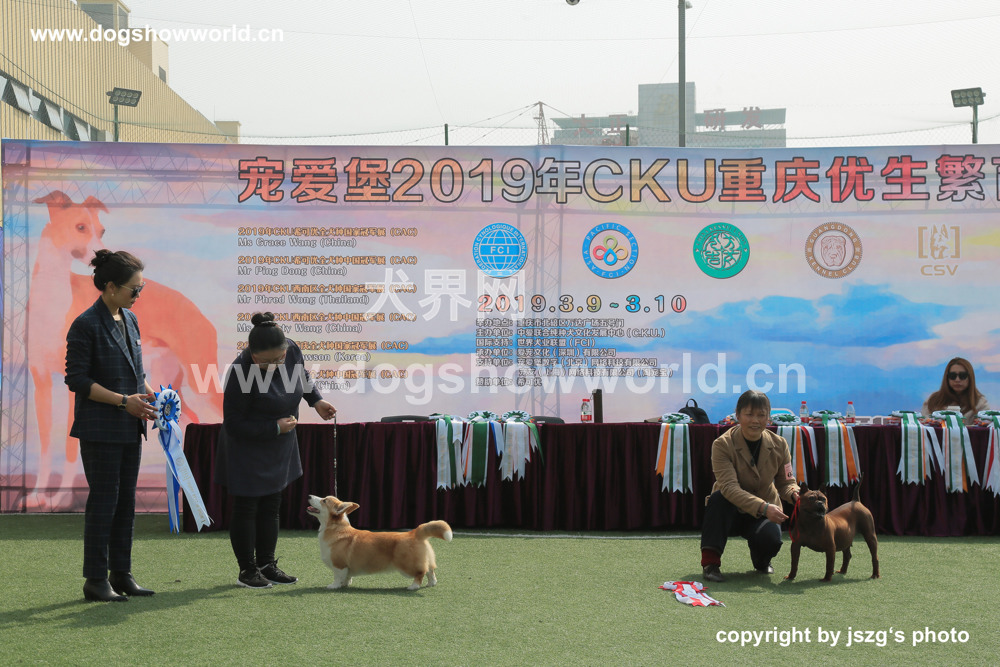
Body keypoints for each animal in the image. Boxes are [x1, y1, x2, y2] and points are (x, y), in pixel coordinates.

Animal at [306, 495, 452, 590]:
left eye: (324, 500)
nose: (308, 495)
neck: (335, 528)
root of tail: (415, 532)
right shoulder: (347, 567)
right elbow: (347, 577)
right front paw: (345, 584)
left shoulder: (339, 564)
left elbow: (337, 576)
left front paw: (334, 586)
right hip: (425, 559)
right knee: (430, 570)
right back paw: (431, 583)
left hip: (407, 565)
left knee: (421, 572)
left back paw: (413, 586)